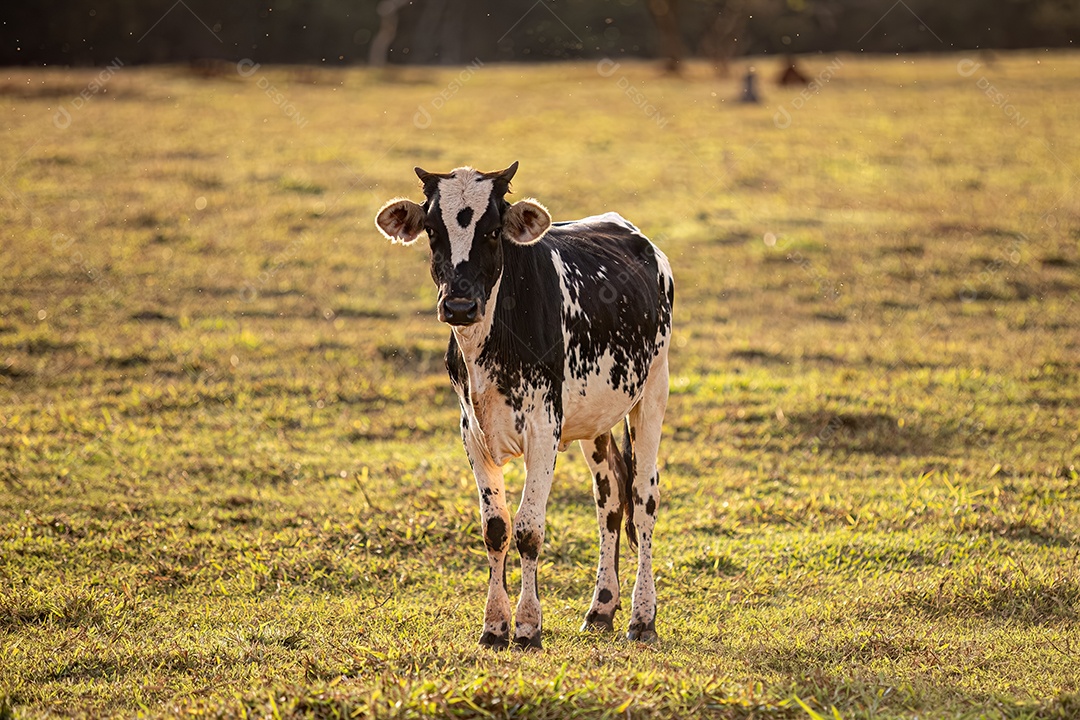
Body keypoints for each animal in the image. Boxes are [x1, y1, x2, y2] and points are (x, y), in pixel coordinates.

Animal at [375, 162, 674, 649]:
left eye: (494, 231)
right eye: (433, 230)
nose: (460, 304)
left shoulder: (543, 430)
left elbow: (529, 529)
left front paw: (529, 625)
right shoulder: (472, 433)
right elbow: (496, 529)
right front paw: (495, 626)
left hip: (652, 391)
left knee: (643, 498)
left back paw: (642, 617)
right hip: (595, 420)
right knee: (609, 499)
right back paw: (601, 608)